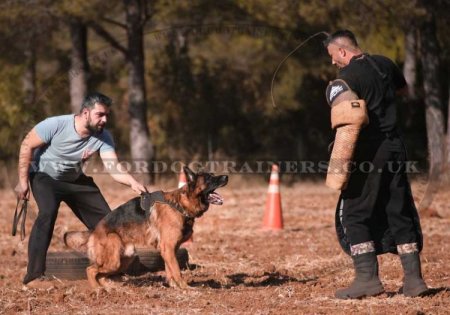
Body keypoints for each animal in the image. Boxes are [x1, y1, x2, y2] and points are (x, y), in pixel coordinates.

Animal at [63, 167, 229, 290]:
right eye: (209, 179)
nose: (226, 176)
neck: (180, 204)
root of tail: (94, 231)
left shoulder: (170, 249)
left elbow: (170, 269)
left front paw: (174, 286)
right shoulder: (168, 247)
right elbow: (176, 270)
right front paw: (185, 288)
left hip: (125, 258)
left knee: (101, 274)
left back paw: (110, 288)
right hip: (114, 257)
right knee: (90, 270)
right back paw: (97, 289)